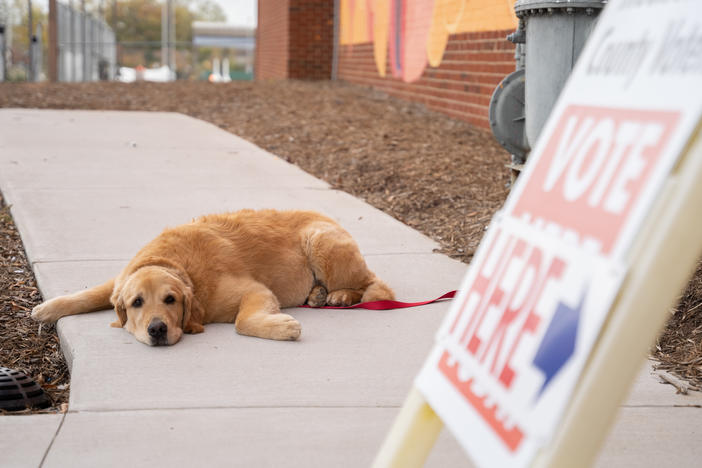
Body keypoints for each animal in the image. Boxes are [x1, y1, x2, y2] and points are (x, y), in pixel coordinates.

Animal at [31, 210, 396, 346]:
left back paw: (341, 296)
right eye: (136, 303)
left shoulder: (255, 291)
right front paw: (48, 308)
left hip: (320, 242)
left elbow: (243, 321)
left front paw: (283, 327)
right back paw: (319, 295)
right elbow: (90, 293)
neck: (178, 265)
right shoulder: (120, 280)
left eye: (170, 300)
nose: (157, 330)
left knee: (377, 287)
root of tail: (330, 217)